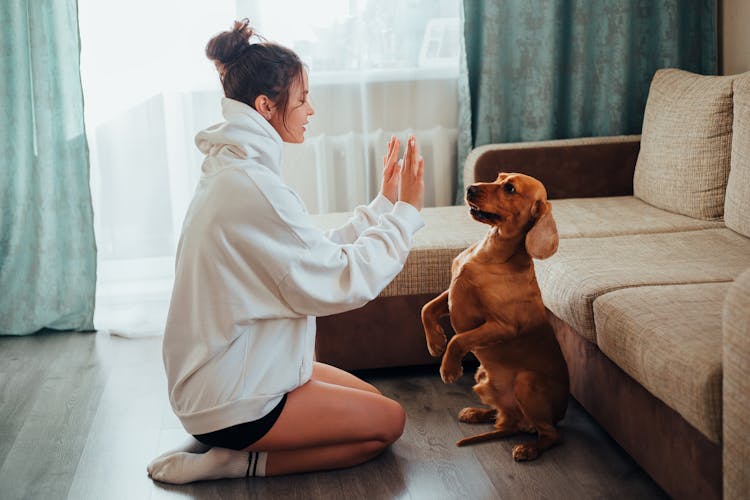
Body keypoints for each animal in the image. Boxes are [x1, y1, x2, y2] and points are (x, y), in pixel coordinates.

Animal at [424, 173, 568, 460]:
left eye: (510, 188)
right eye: (498, 177)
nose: (470, 188)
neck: (489, 252)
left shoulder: (502, 326)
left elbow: (459, 339)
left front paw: (449, 368)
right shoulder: (451, 294)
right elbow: (427, 309)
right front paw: (435, 342)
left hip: (526, 383)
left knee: (550, 434)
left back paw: (529, 449)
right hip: (484, 378)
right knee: (504, 415)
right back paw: (477, 413)